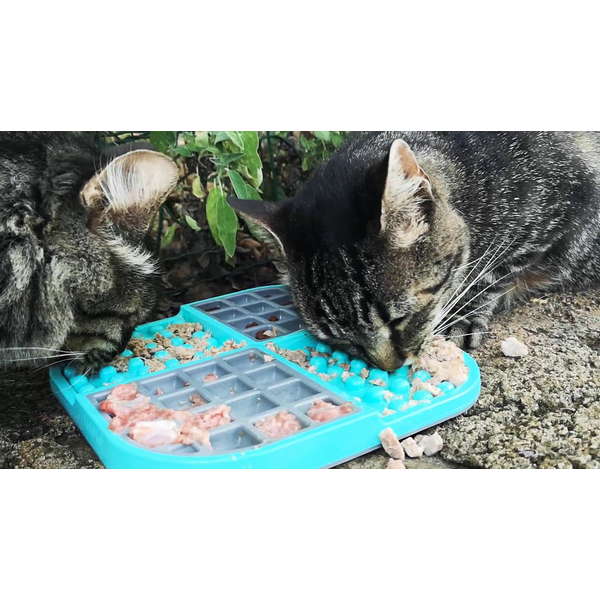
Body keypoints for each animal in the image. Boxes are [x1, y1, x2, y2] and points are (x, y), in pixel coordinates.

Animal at [230, 132, 600, 370]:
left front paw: (465, 312)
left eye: (399, 320)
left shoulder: (568, 206)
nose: (391, 368)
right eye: (342, 339)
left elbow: (495, 272)